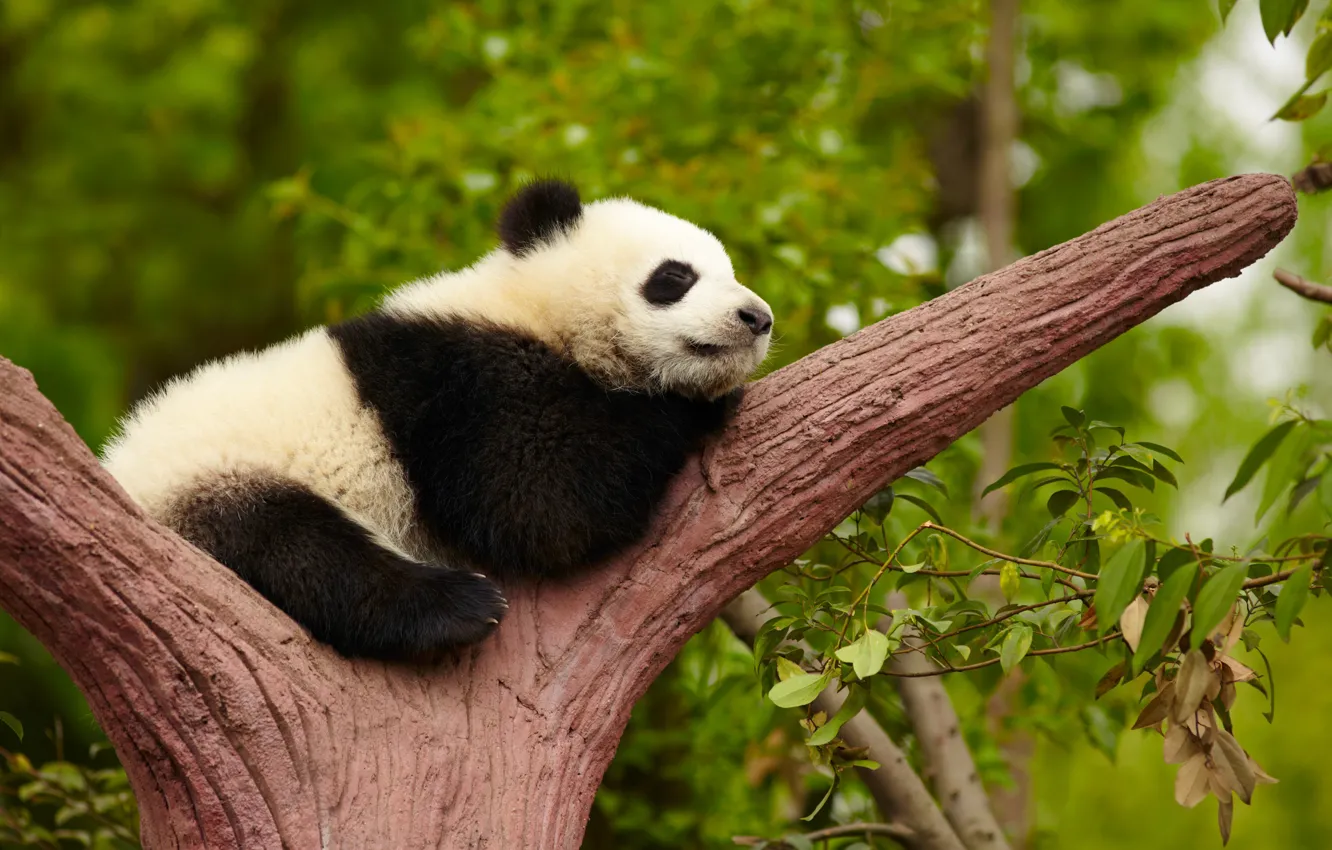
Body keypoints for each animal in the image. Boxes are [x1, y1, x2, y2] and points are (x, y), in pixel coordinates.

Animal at [102, 179, 773, 661]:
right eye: (674, 277)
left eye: (731, 271)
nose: (757, 317)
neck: (531, 307)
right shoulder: (462, 383)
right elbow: (542, 501)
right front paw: (695, 405)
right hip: (215, 480)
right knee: (298, 548)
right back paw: (459, 607)